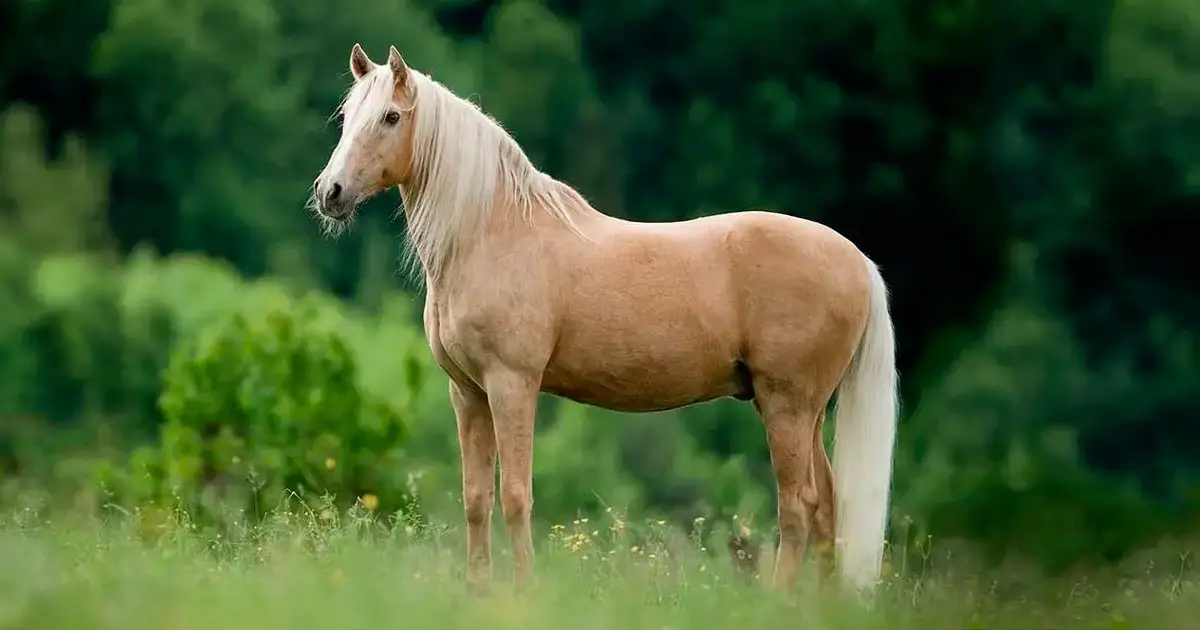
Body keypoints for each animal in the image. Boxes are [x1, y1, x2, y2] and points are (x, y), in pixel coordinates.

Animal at [311, 44, 900, 595]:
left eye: (391, 116)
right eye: (346, 115)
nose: (330, 193)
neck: (493, 232)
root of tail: (856, 261)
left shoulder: (511, 385)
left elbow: (516, 495)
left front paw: (523, 592)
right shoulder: (468, 393)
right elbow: (476, 498)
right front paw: (478, 592)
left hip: (787, 406)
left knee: (797, 506)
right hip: (803, 411)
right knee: (827, 507)